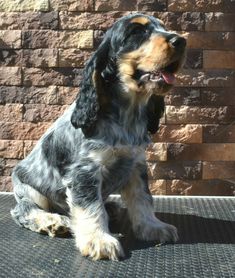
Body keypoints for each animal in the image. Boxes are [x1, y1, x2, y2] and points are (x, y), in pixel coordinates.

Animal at [11, 13, 186, 260]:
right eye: (136, 32)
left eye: (163, 27)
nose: (181, 41)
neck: (126, 114)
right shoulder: (85, 170)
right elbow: (90, 207)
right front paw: (99, 241)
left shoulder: (136, 165)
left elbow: (143, 199)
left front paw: (153, 226)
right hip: (30, 190)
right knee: (23, 210)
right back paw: (52, 221)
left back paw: (111, 208)